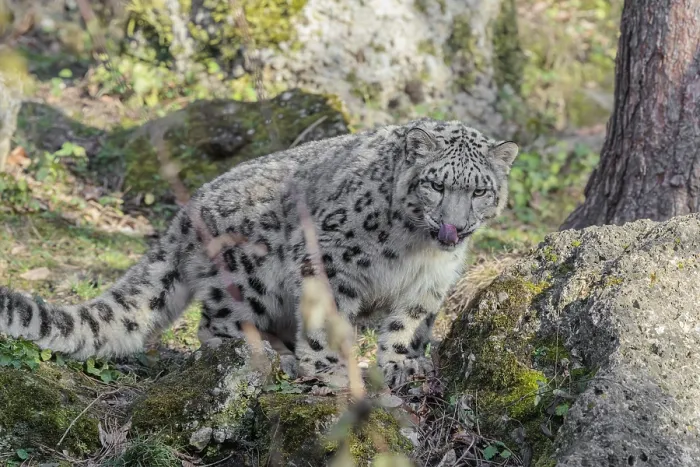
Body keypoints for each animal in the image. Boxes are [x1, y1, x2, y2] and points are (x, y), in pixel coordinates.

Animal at [0, 118, 519, 388]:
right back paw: (269, 355)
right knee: (216, 326)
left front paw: (402, 364)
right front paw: (330, 369)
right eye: (436, 184)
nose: (454, 225)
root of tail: (187, 209)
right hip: (246, 277)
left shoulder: (429, 284)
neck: (416, 248)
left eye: (478, 191)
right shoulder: (332, 258)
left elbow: (407, 326)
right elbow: (326, 319)